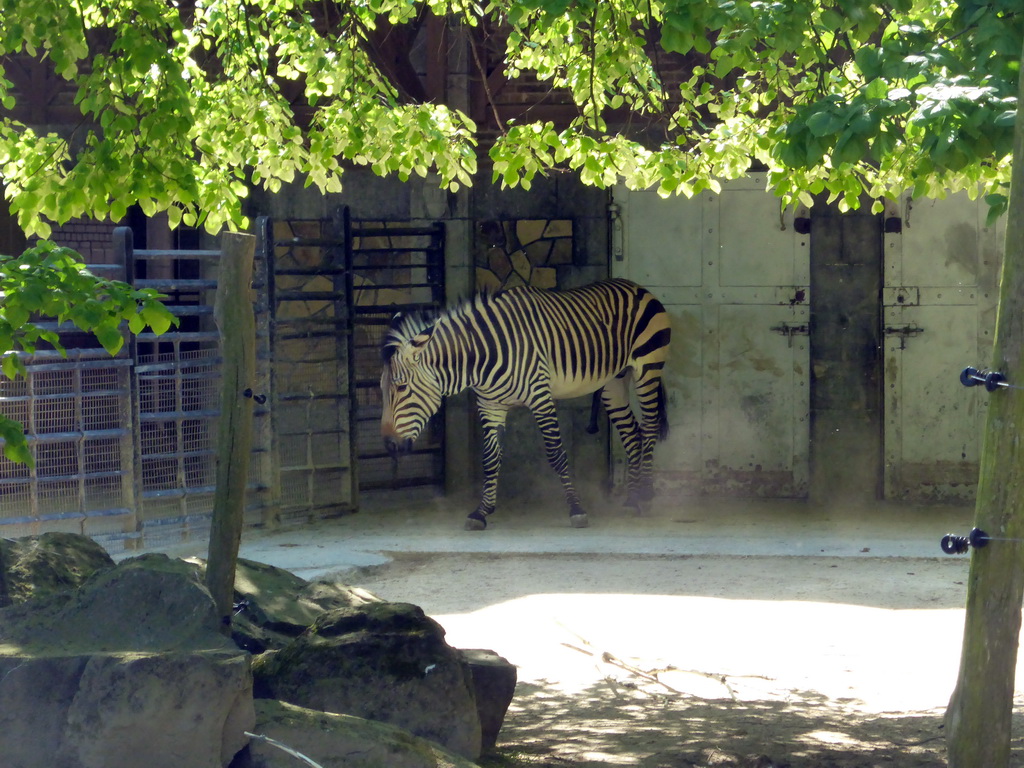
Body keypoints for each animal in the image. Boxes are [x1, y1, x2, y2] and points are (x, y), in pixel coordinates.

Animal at [380, 280, 667, 532]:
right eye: (381, 388)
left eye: (401, 387)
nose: (389, 445)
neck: (481, 358)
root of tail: (635, 286)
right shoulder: (490, 404)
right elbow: (490, 459)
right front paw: (481, 512)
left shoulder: (540, 397)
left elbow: (556, 455)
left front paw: (576, 509)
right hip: (613, 382)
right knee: (632, 434)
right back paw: (631, 500)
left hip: (647, 369)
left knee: (650, 426)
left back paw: (646, 495)